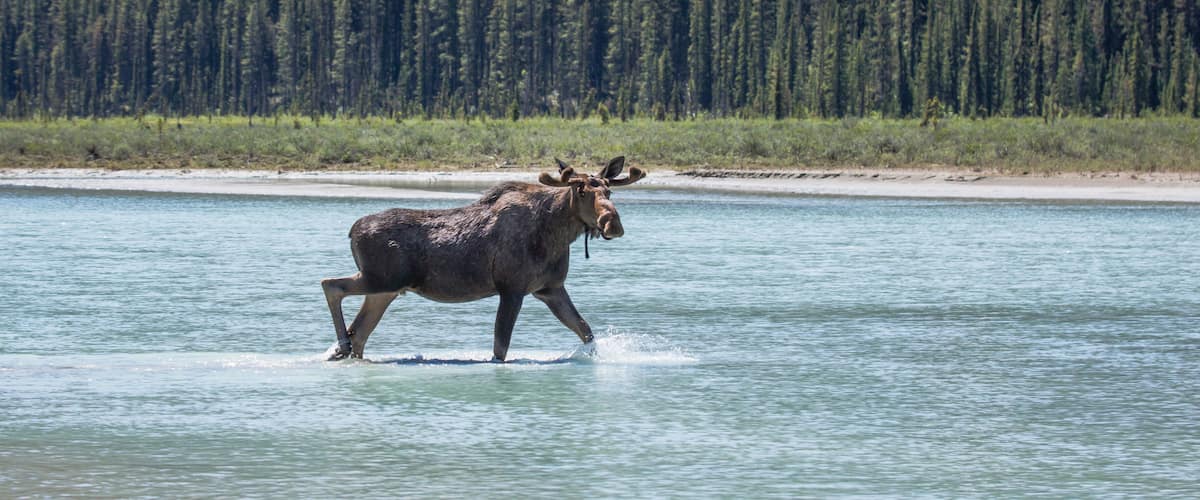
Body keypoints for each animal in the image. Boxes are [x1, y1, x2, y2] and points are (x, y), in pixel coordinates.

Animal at [320, 156, 646, 362]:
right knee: (331, 285)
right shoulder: (512, 288)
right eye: (580, 190)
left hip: (385, 290)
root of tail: (351, 231)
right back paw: (340, 345)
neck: (557, 233)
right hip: (380, 278)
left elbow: (586, 331)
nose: (612, 224)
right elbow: (500, 348)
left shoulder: (550, 288)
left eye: (609, 191)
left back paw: (345, 349)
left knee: (360, 331)